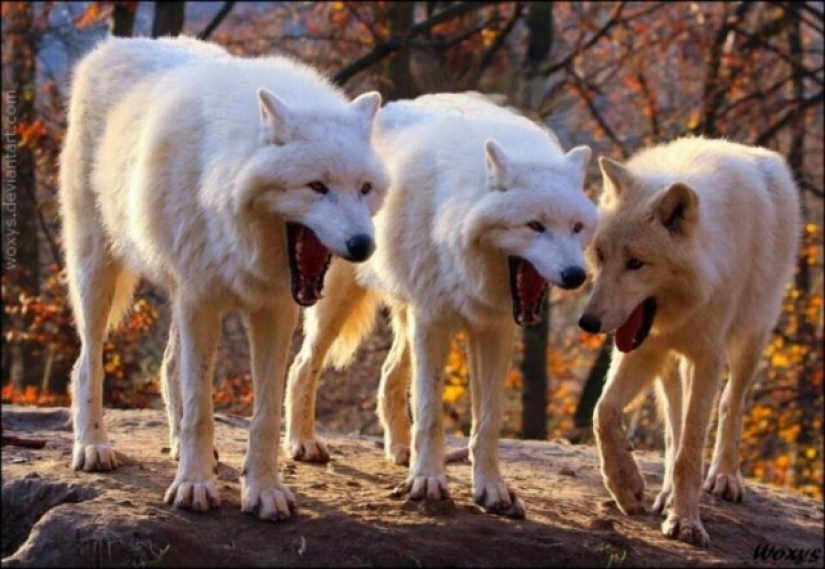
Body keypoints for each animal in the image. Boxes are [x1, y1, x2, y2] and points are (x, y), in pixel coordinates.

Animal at [59, 36, 388, 521]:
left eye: (364, 188)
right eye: (316, 186)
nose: (364, 245)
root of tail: (114, 45)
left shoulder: (274, 310)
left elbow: (265, 415)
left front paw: (264, 490)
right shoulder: (202, 300)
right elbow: (201, 409)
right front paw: (194, 486)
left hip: (175, 294)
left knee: (168, 364)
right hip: (98, 270)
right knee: (87, 362)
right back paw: (93, 446)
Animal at [284, 93, 596, 518]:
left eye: (576, 227)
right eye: (535, 225)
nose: (575, 275)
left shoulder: (493, 330)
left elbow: (487, 421)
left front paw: (492, 488)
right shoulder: (434, 321)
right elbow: (430, 412)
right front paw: (428, 481)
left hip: (408, 316)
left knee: (388, 375)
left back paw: (400, 450)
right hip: (342, 302)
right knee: (304, 365)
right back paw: (303, 442)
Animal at [578, 137, 801, 546]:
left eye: (636, 263)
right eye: (601, 255)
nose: (588, 322)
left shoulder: (707, 358)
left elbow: (691, 451)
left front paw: (686, 523)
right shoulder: (645, 347)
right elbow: (604, 412)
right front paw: (626, 486)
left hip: (750, 338)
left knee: (731, 404)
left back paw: (724, 478)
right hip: (670, 365)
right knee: (673, 426)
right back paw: (665, 493)